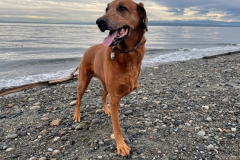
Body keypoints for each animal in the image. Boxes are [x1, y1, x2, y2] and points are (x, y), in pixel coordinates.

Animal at [74, 0, 147, 156]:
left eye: (122, 8)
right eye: (106, 9)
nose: (99, 22)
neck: (127, 53)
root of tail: (88, 49)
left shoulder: (114, 93)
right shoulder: (114, 98)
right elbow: (117, 126)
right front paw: (121, 146)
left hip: (105, 85)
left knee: (102, 96)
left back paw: (106, 110)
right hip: (83, 82)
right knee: (78, 99)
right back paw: (77, 115)